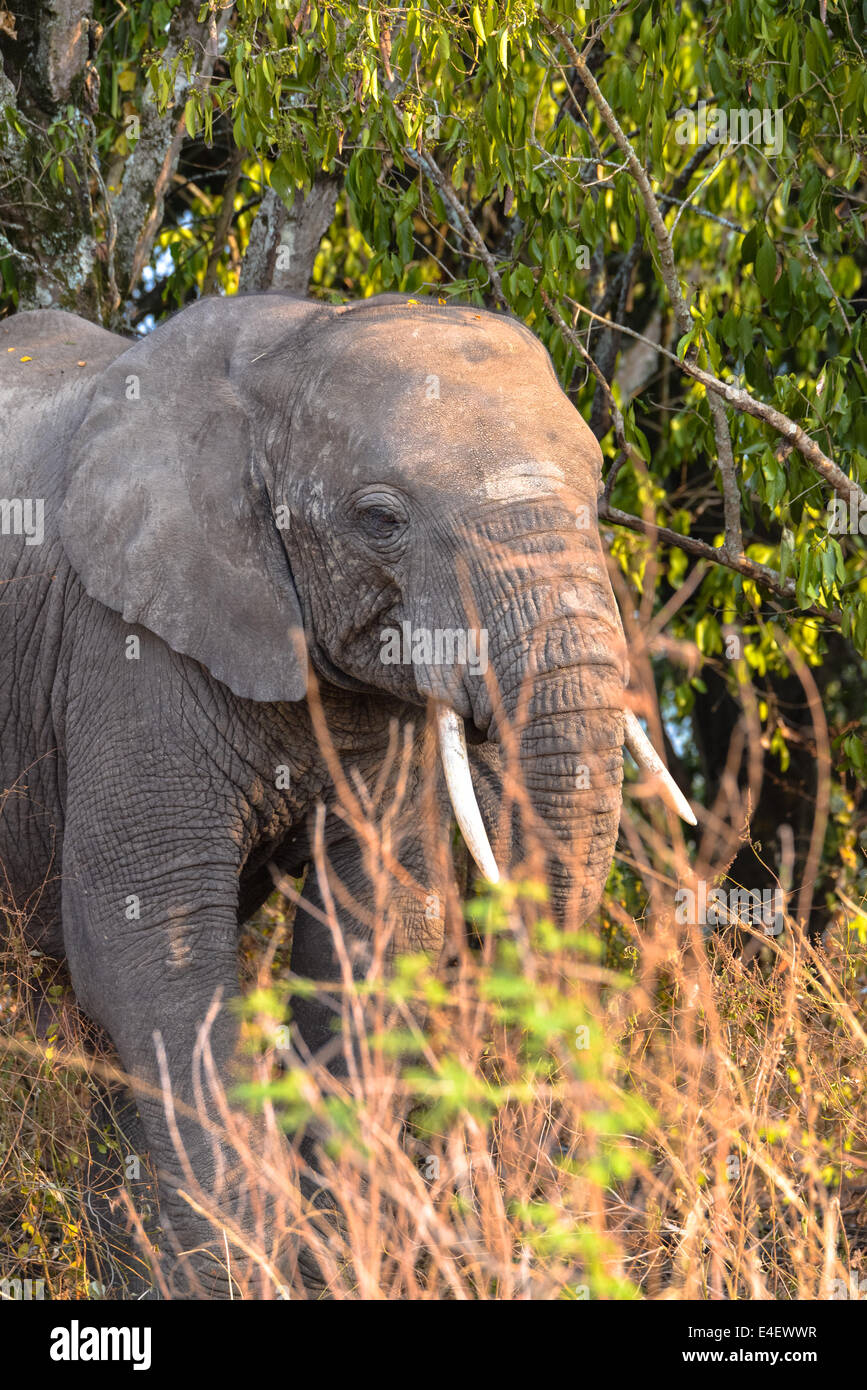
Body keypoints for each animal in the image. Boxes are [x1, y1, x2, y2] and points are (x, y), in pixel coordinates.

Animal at [0, 290, 691, 1289]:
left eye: (599, 502)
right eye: (380, 519)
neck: (285, 351)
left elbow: (374, 946)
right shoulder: (120, 649)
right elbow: (150, 954)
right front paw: (239, 1278)